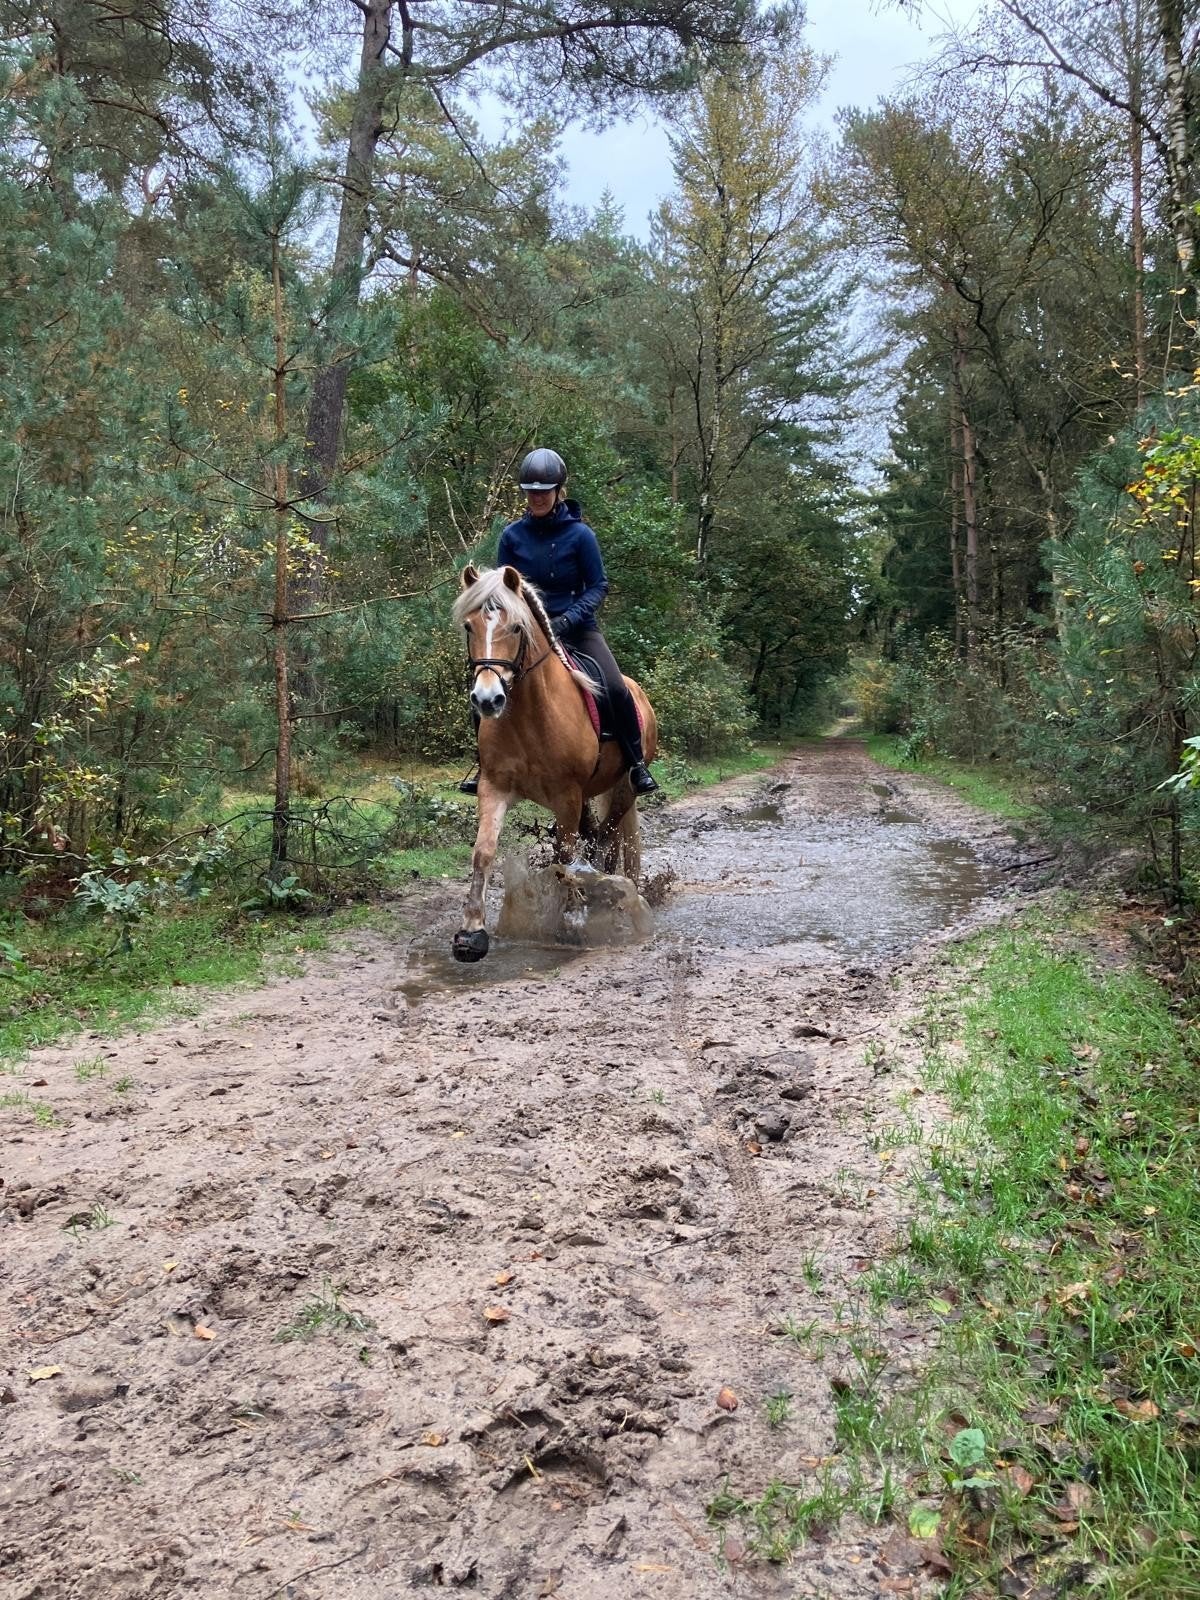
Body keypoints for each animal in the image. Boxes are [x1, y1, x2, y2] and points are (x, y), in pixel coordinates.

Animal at [450, 564, 657, 963]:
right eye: (469, 626)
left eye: (517, 627)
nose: (487, 699)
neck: (528, 716)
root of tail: (637, 690)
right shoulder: (494, 787)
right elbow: (483, 853)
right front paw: (471, 935)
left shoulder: (567, 796)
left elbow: (563, 858)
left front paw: (568, 920)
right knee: (597, 838)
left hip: (623, 789)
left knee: (608, 841)